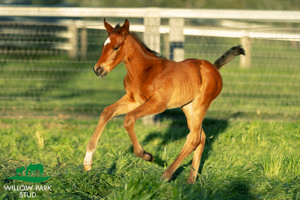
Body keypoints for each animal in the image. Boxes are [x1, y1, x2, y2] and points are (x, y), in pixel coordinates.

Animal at [83, 19, 245, 184]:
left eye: (116, 47)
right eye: (103, 46)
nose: (98, 69)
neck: (145, 71)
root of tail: (214, 68)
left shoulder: (158, 104)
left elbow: (129, 119)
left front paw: (147, 155)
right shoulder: (133, 99)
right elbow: (107, 112)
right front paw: (87, 162)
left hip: (201, 104)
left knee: (194, 138)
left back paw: (166, 175)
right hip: (187, 107)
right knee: (201, 137)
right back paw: (190, 181)